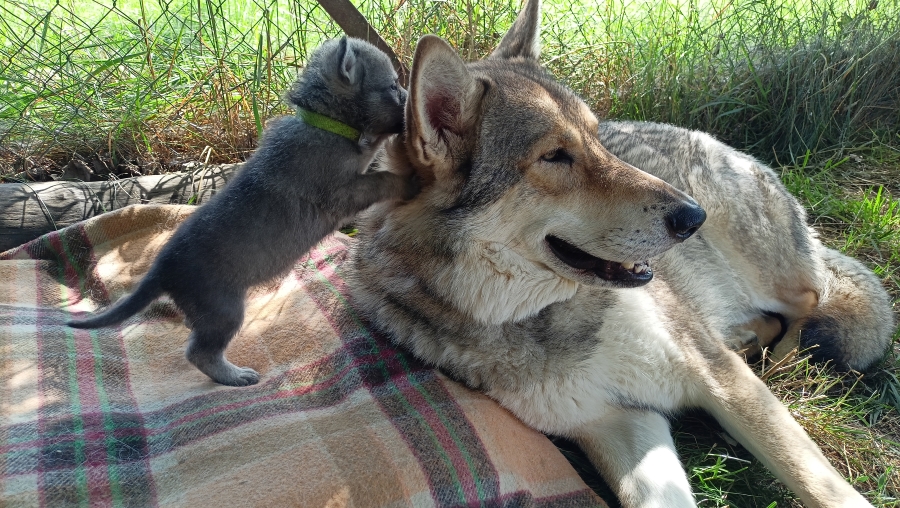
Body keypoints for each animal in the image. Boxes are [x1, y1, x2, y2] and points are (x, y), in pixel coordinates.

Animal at [69, 37, 416, 386]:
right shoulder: (341, 191)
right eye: (393, 85)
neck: (324, 123)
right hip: (224, 310)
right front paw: (407, 180)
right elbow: (380, 177)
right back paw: (234, 376)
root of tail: (162, 268)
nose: (409, 101)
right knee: (199, 352)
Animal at [347, 1, 894, 506]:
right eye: (555, 156)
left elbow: (823, 488)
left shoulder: (721, 380)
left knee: (812, 297)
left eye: (594, 138)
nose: (692, 218)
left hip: (763, 270)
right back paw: (752, 341)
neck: (538, 315)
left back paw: (781, 361)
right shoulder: (622, 422)